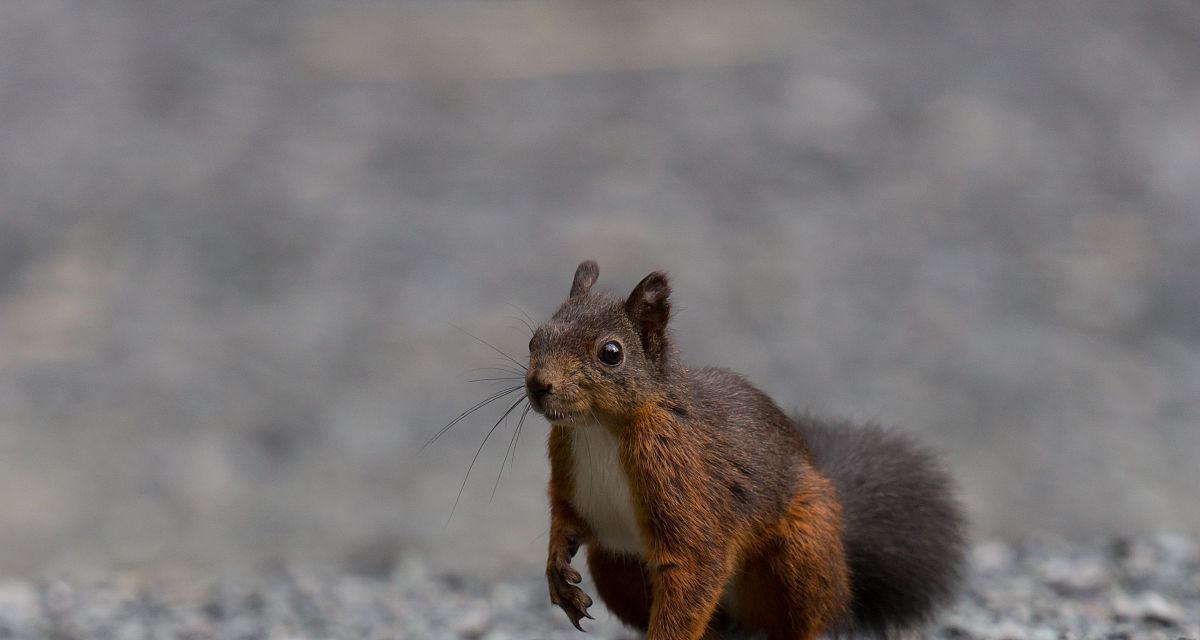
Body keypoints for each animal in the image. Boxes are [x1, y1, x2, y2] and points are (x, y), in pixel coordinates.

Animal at [525, 260, 964, 638]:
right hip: (617, 567)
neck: (599, 429)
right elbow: (564, 516)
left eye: (611, 353)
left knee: (805, 620)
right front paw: (556, 569)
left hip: (801, 551)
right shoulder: (568, 476)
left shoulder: (689, 489)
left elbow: (695, 566)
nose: (538, 385)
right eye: (533, 340)